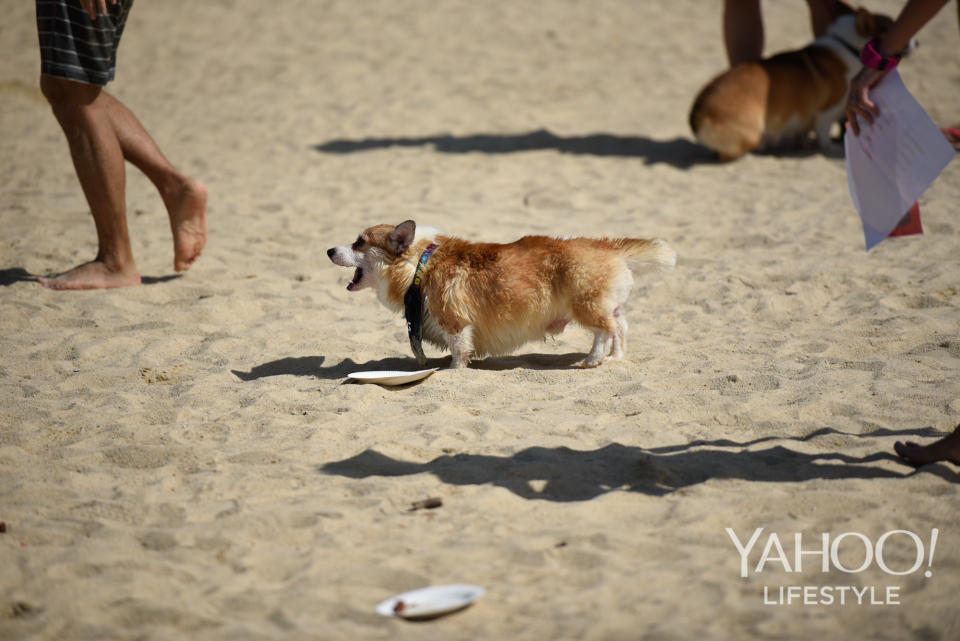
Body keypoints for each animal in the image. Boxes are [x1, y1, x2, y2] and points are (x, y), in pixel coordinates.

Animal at [328, 220, 676, 368]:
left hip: (587, 307)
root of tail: (610, 247)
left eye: (359, 242)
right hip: (605, 306)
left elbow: (459, 352)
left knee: (606, 330)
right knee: (621, 327)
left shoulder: (456, 323)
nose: (329, 250)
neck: (419, 264)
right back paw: (615, 357)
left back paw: (593, 360)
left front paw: (453, 372)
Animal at [688, 6, 900, 161]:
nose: (909, 43)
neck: (849, 46)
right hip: (752, 132)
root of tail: (697, 113)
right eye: (889, 27)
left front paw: (803, 143)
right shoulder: (828, 110)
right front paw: (831, 147)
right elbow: (823, 131)